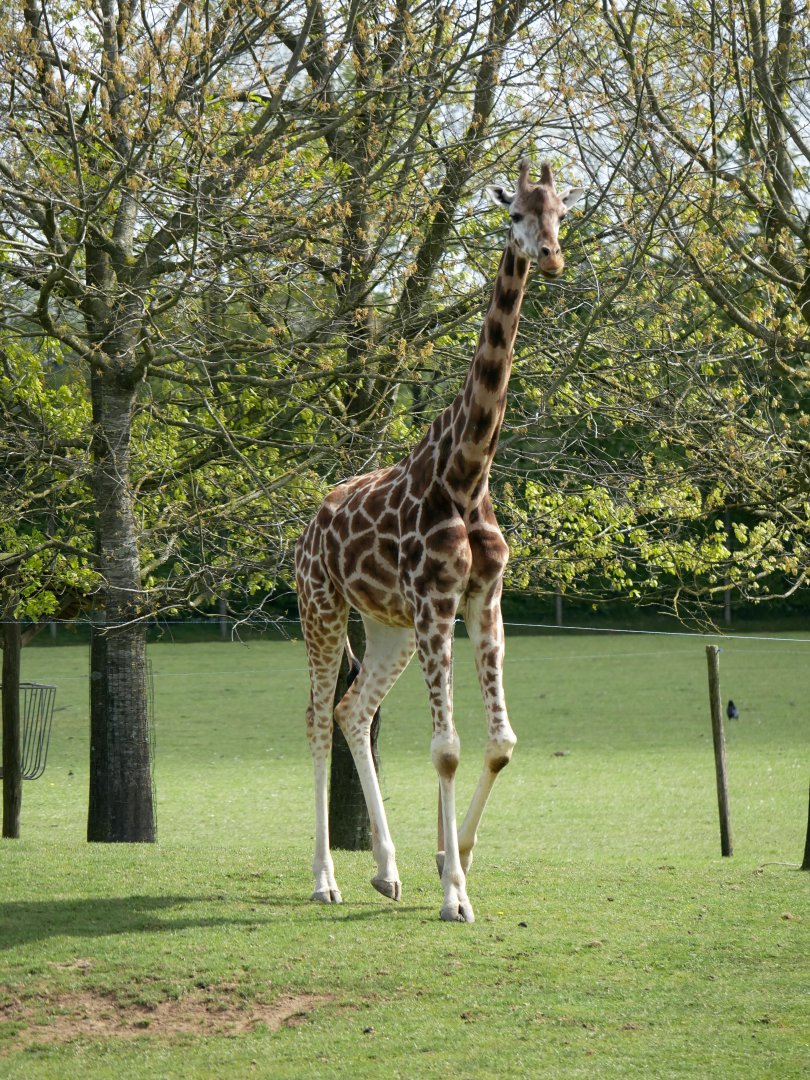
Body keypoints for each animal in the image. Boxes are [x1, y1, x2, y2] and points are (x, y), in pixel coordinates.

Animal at [295, 160, 585, 922]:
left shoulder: (482, 598)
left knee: (353, 711)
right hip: (322, 608)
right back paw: (326, 878)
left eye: (561, 212)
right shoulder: (435, 601)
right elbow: (447, 747)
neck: (466, 471)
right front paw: (455, 893)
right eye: (514, 214)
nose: (550, 257)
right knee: (317, 716)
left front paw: (452, 857)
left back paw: (386, 871)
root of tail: (307, 527)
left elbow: (501, 742)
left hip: (387, 626)